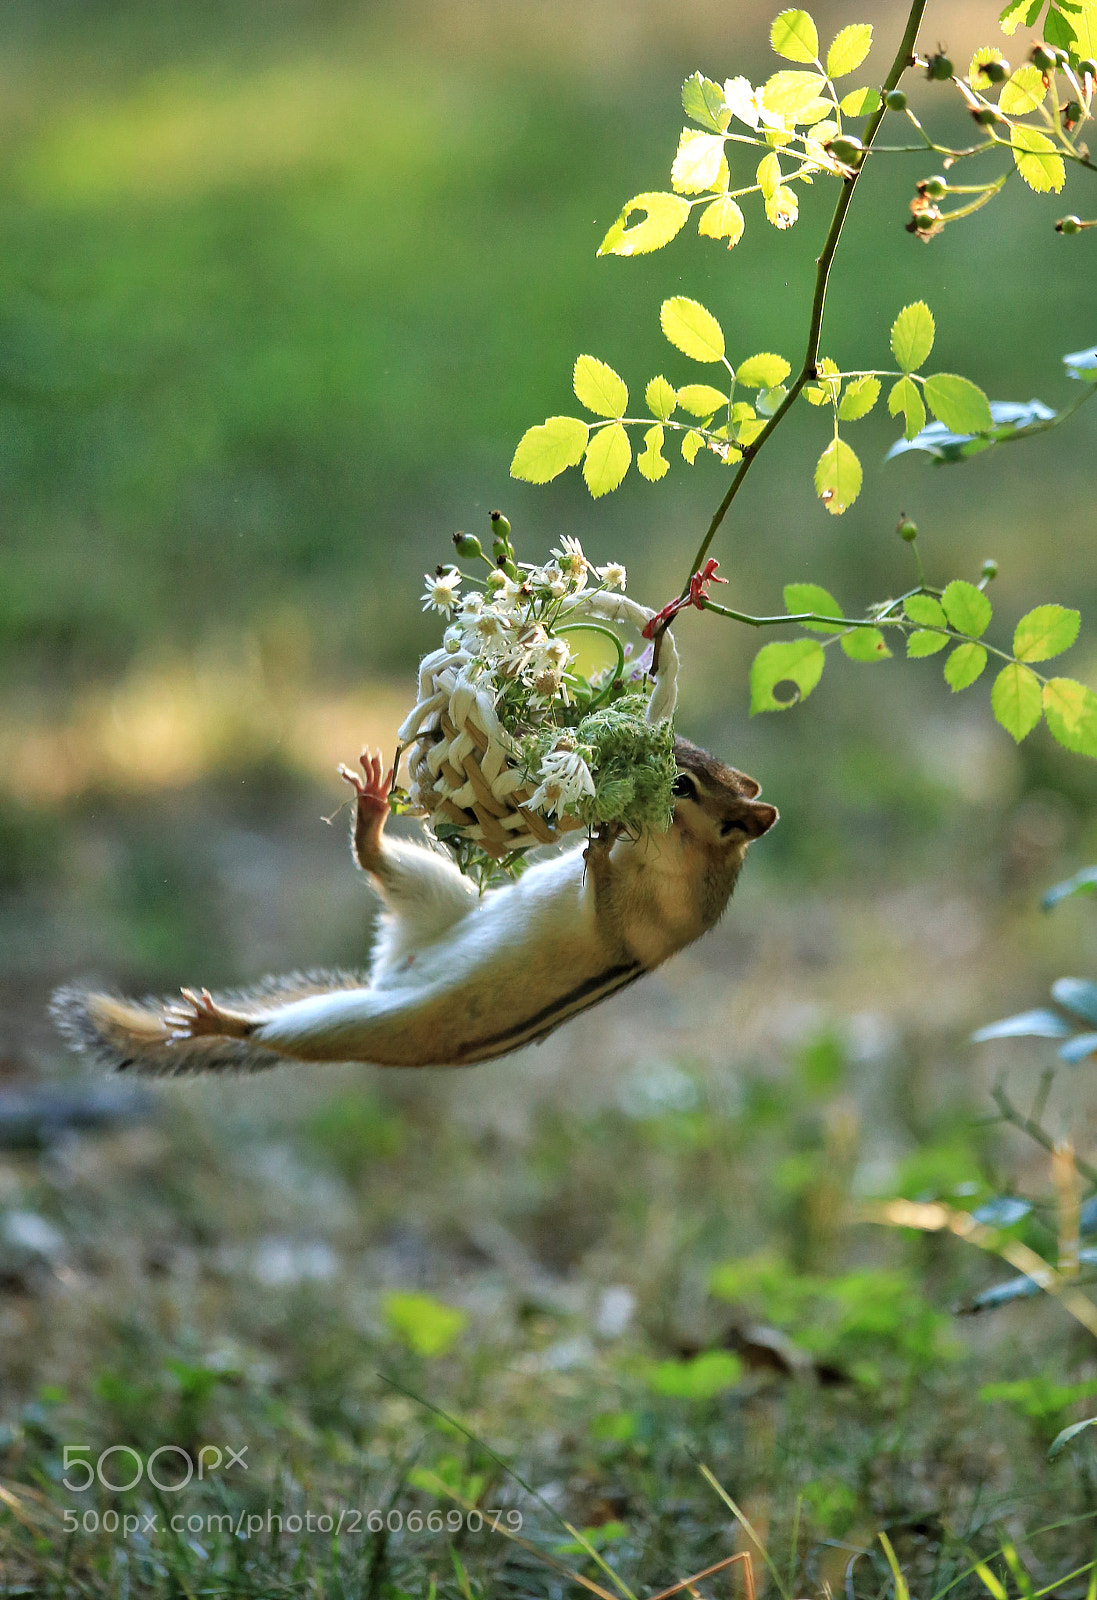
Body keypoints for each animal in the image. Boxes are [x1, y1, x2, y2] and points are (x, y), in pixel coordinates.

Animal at [50, 739, 776, 1074]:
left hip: (360, 1027)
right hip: (437, 891)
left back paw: (217, 1022)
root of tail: (391, 975)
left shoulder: (644, 917)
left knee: (275, 1034)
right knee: (377, 864)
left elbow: (604, 905)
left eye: (682, 785)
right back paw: (372, 811)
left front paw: (597, 850)